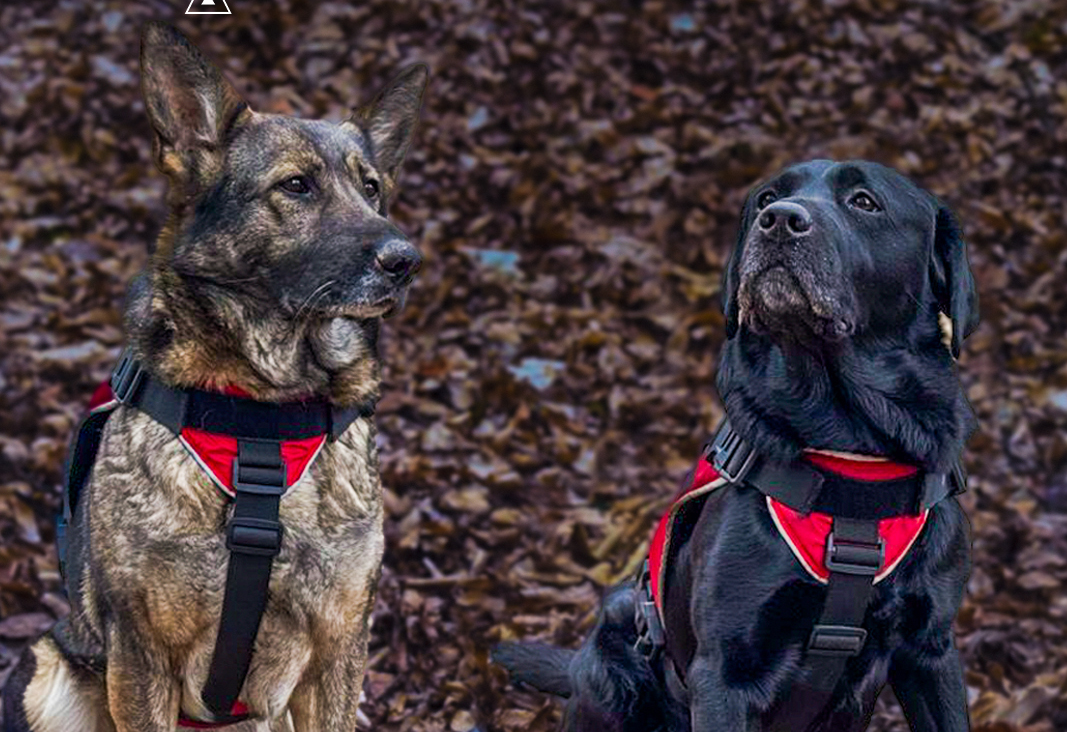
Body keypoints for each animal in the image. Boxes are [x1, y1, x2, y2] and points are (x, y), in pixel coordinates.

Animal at [5, 22, 428, 732]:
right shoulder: (140, 656)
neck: (264, 414)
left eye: (371, 188)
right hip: (51, 671)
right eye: (296, 186)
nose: (406, 260)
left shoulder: (340, 651)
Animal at [490, 162, 977, 732]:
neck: (848, 448)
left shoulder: (931, 650)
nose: (780, 221)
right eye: (767, 197)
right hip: (613, 668)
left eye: (864, 201)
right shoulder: (725, 672)